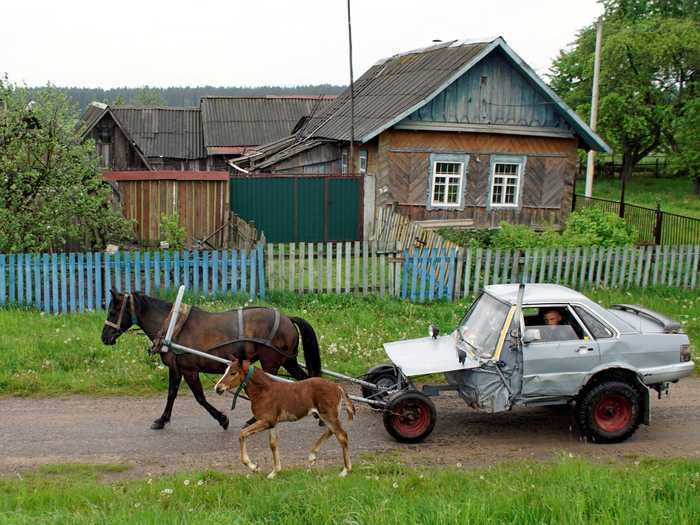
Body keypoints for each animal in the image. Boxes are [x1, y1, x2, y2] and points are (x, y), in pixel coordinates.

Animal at [100, 290, 322, 430]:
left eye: (113, 311)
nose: (104, 337)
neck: (173, 327)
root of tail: (287, 318)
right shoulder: (176, 369)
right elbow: (171, 395)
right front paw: (162, 420)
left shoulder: (190, 370)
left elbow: (200, 398)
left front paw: (222, 419)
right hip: (287, 361)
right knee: (306, 379)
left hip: (272, 362)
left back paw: (254, 419)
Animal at [213, 358, 356, 476]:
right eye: (225, 371)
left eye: (233, 373)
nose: (217, 388)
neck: (264, 391)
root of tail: (337, 386)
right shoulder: (272, 424)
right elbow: (273, 445)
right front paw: (274, 472)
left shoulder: (266, 421)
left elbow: (242, 434)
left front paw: (254, 467)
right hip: (327, 416)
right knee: (332, 431)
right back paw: (312, 457)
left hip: (329, 415)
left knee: (342, 435)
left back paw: (345, 470)